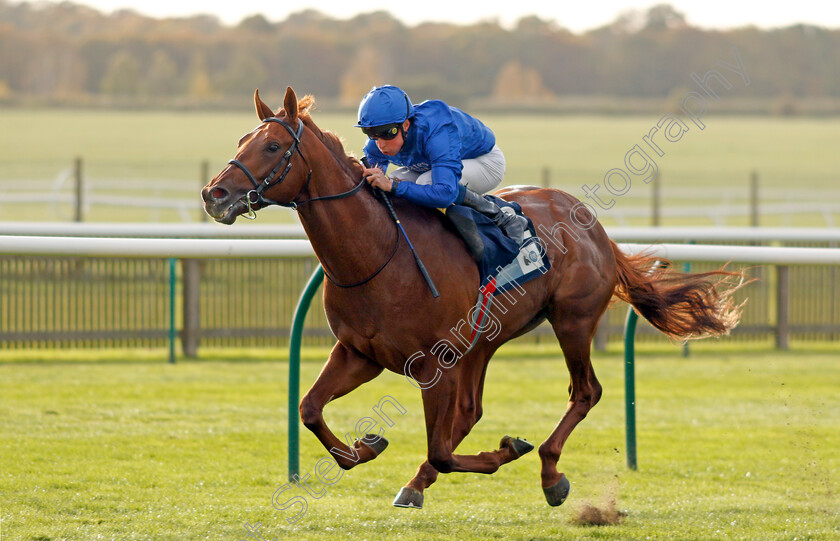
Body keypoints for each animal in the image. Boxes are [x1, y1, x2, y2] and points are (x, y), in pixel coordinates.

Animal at [203, 87, 748, 506]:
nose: (214, 195)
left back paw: (549, 473)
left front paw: (506, 451)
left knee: (583, 392)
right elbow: (311, 409)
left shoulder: (431, 363)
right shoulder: (360, 353)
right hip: (484, 339)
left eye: (273, 146)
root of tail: (591, 223)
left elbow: (441, 450)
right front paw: (368, 445)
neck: (376, 254)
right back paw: (418, 483)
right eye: (242, 140)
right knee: (468, 412)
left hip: (571, 320)